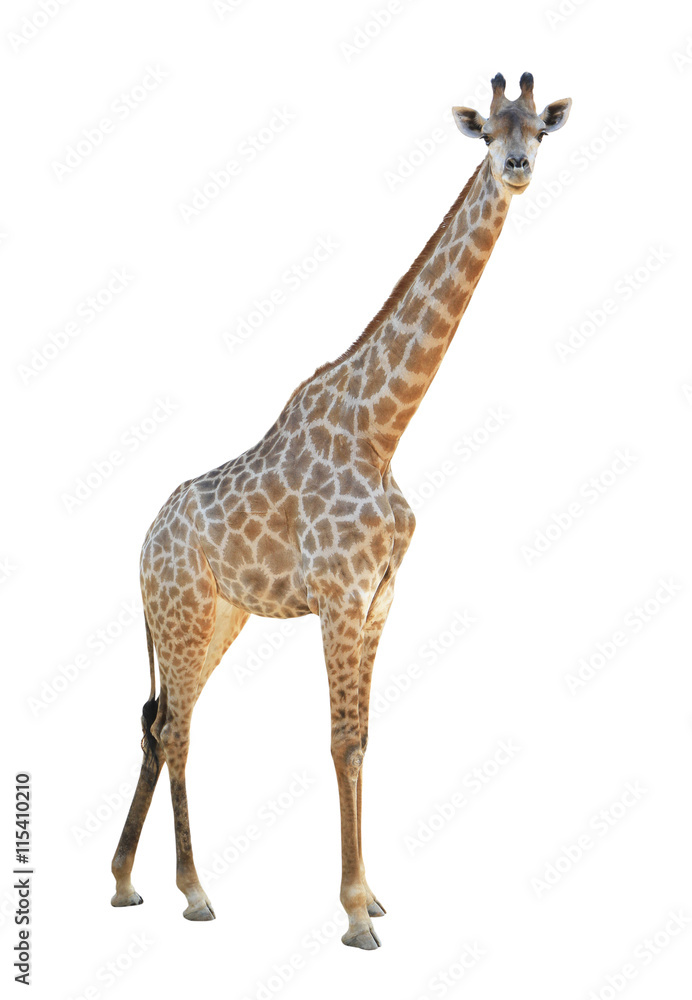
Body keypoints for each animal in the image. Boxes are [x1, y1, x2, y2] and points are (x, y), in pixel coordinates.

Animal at [111, 73, 571, 949]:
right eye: (488, 131)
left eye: (539, 129)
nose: (519, 168)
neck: (382, 429)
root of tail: (139, 548)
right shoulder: (339, 596)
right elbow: (341, 743)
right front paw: (356, 913)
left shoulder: (381, 598)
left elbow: (364, 738)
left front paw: (375, 896)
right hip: (183, 612)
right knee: (176, 727)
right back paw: (194, 891)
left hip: (218, 616)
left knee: (161, 723)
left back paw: (124, 882)